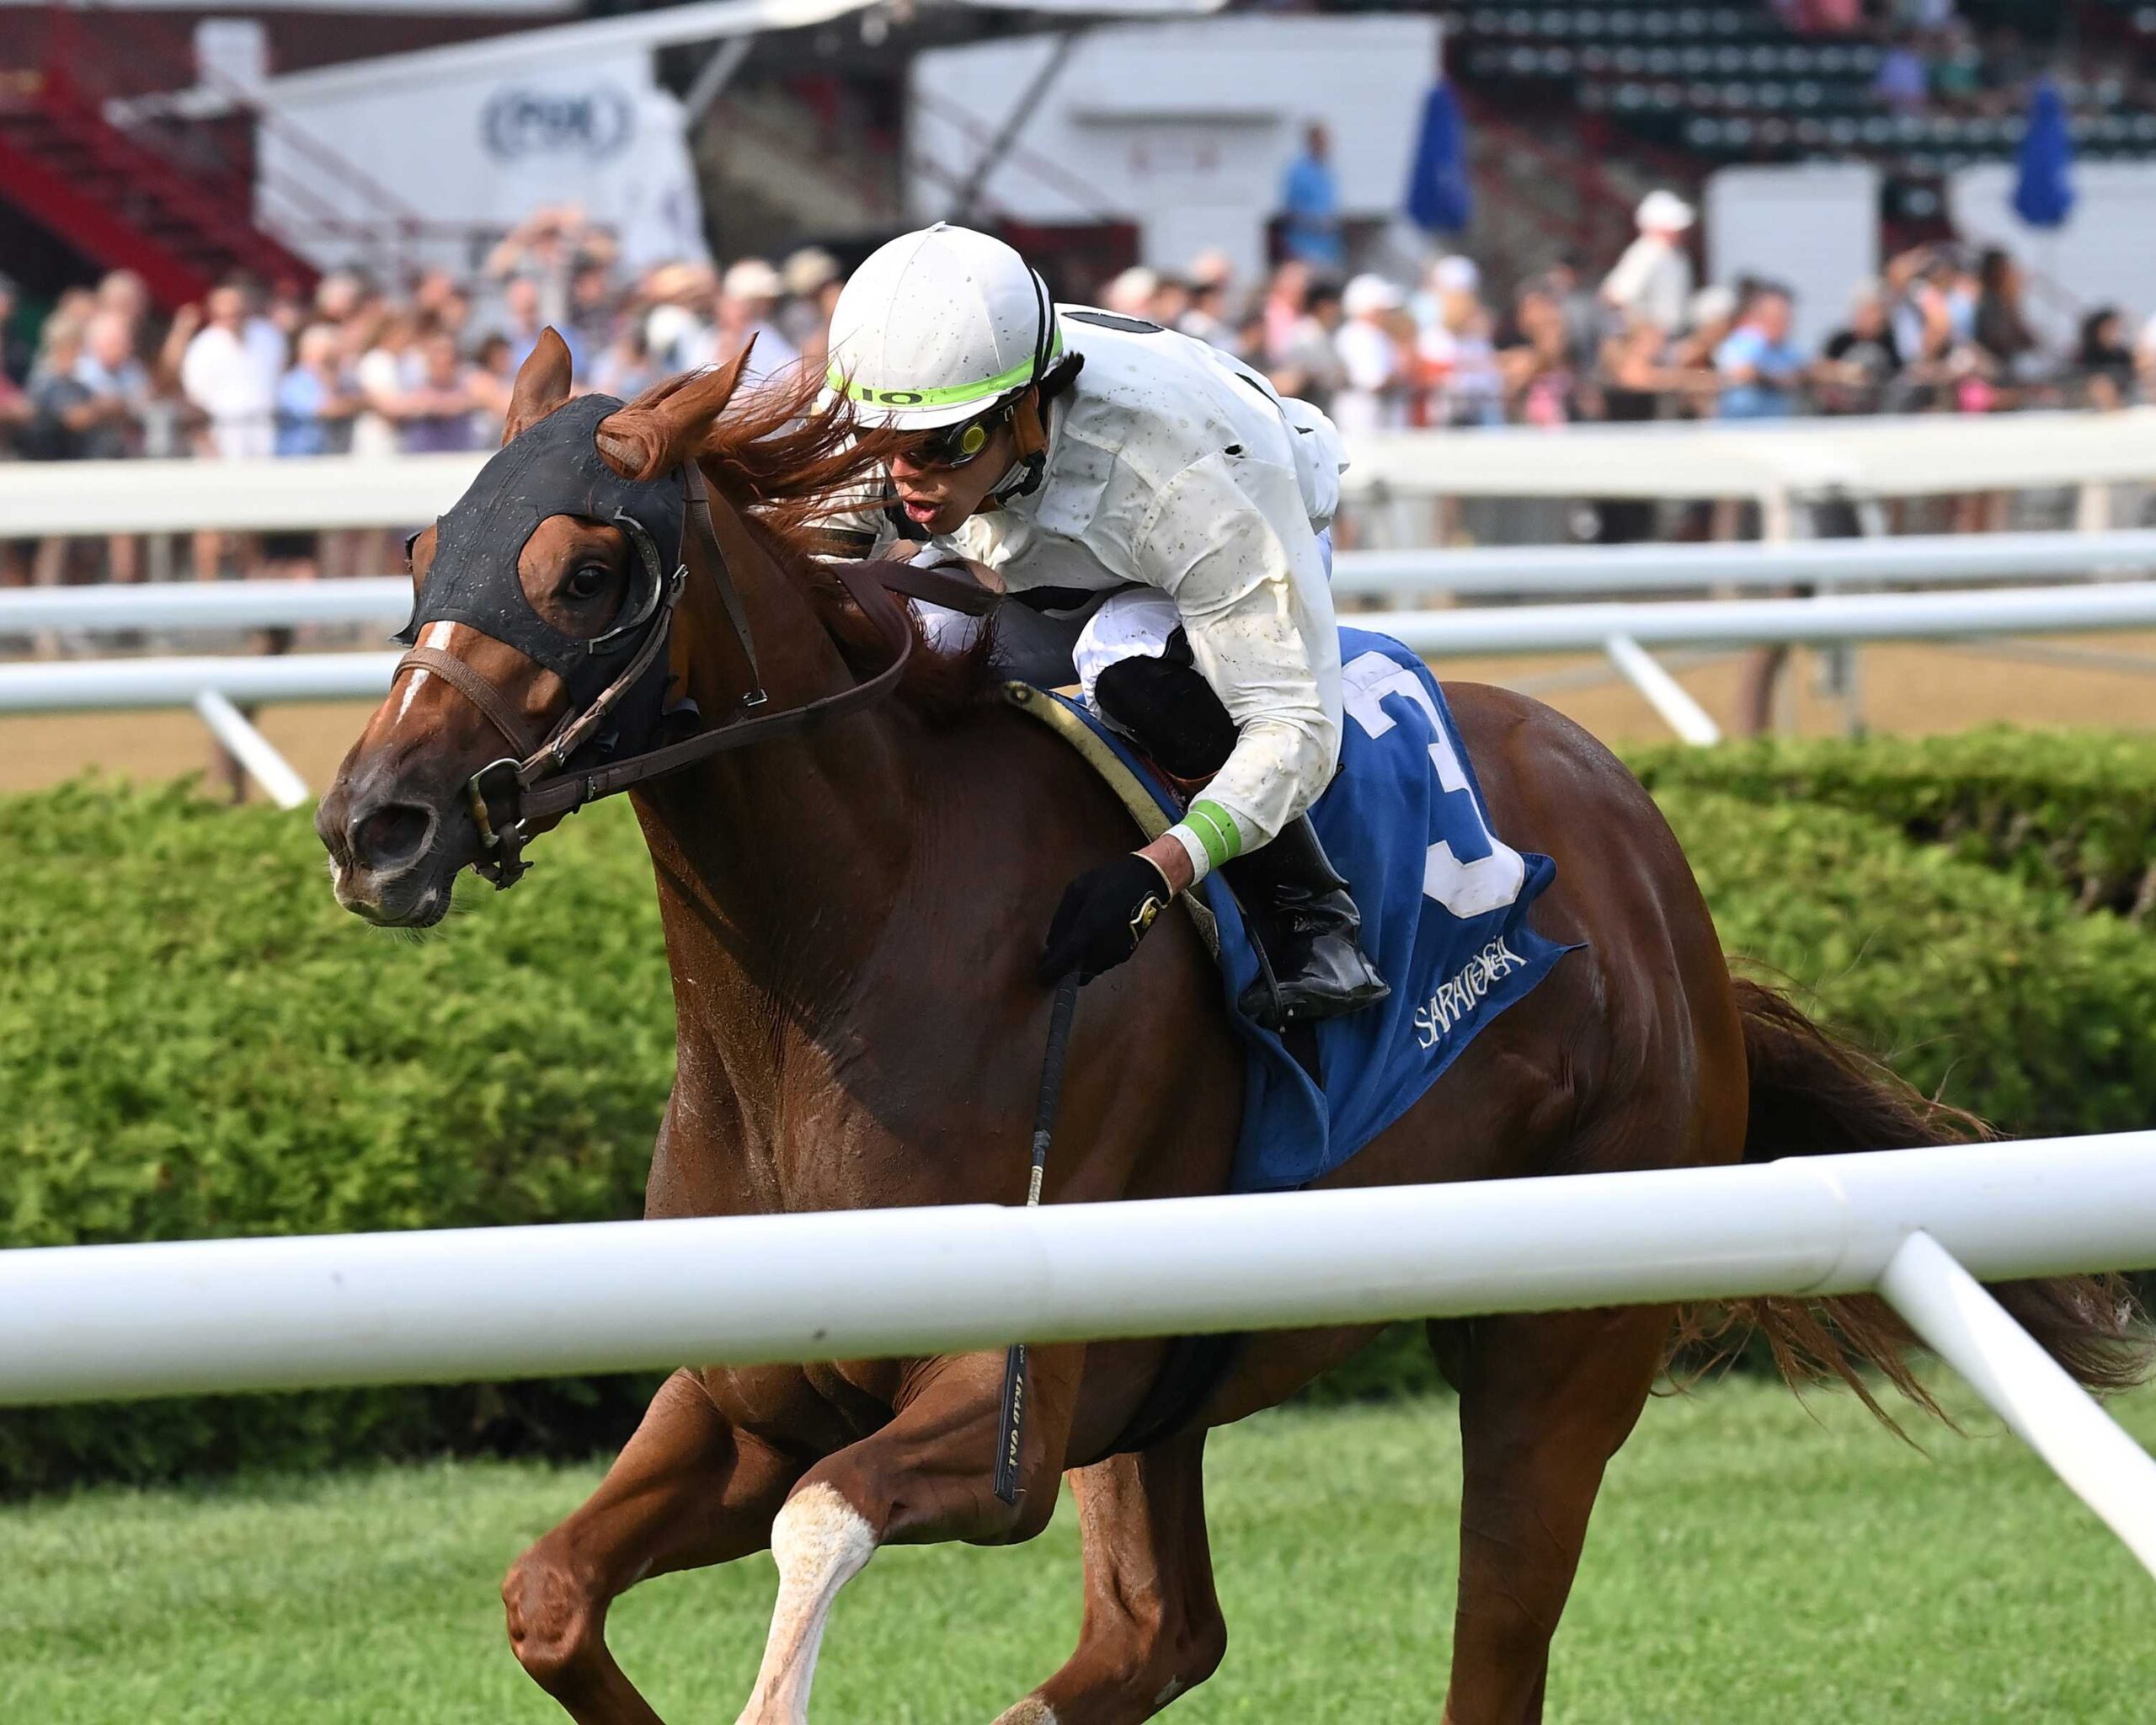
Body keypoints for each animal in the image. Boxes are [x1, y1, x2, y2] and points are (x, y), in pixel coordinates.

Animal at [316, 332, 2141, 1724]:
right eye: (417, 553)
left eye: (587, 569)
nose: (371, 825)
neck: (831, 974)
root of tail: (1652, 863)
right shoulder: (758, 1389)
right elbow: (550, 1591)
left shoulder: (1001, 1411)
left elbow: (824, 1526)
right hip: (1168, 1375)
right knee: (1154, 1635)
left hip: (1554, 1347)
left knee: (1488, 1647)